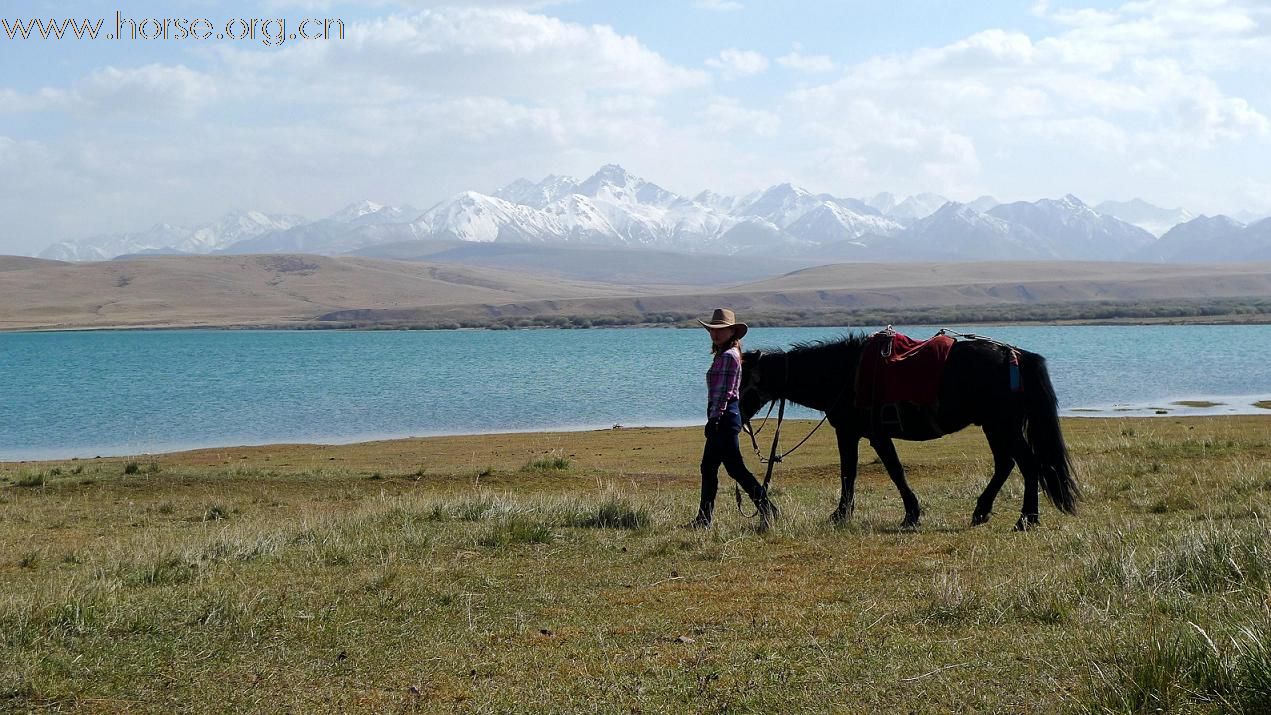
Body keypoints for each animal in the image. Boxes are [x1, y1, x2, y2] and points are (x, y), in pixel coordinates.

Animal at [742, 332, 1077, 528]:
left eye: (741, 379)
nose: (732, 413)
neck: (843, 372)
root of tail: (1016, 355)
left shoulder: (865, 434)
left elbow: (883, 471)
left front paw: (907, 515)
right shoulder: (855, 433)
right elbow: (855, 472)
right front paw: (846, 514)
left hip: (1002, 425)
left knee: (1027, 464)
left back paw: (1026, 519)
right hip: (993, 426)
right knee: (1006, 463)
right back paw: (982, 511)